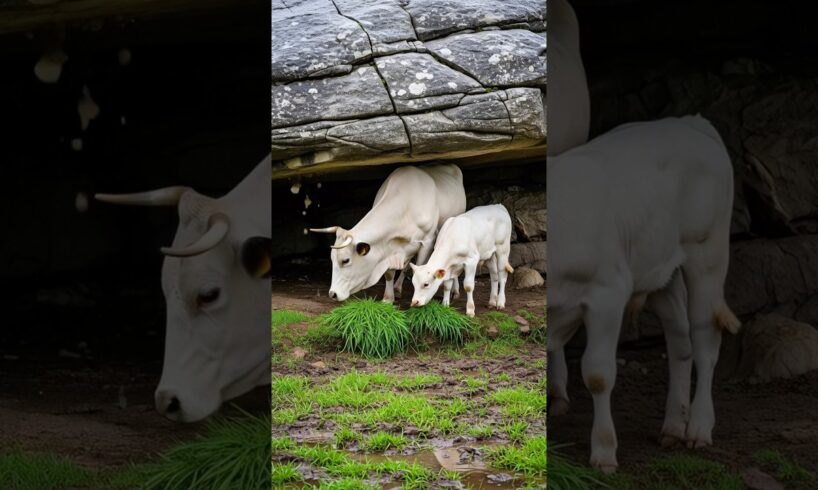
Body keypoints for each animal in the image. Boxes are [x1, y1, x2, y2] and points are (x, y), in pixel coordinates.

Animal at [310, 164, 466, 303]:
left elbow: (420, 267)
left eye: (345, 260)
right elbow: (390, 274)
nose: (333, 294)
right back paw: (397, 288)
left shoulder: (427, 241)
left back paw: (455, 291)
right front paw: (388, 298)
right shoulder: (387, 246)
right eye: (331, 258)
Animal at [547, 116, 740, 473]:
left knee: (705, 341)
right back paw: (673, 426)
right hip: (661, 270)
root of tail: (689, 121)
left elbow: (598, 374)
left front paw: (604, 453)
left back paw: (699, 428)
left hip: (708, 254)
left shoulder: (607, 294)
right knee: (680, 342)